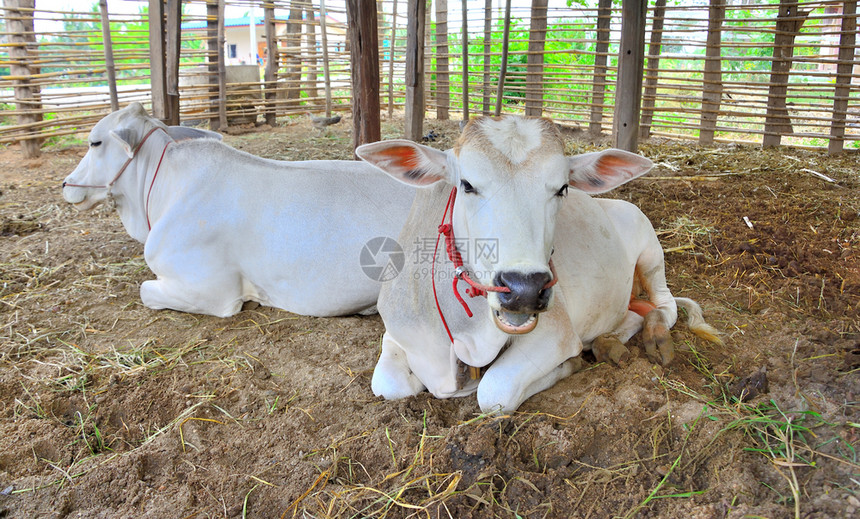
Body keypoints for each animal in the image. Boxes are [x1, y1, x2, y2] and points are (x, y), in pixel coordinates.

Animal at [356, 118, 720, 414]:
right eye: (467, 184)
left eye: (563, 188)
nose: (524, 290)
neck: (465, 331)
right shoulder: (397, 332)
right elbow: (389, 386)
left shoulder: (556, 333)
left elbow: (493, 392)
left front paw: (569, 365)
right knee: (631, 314)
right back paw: (606, 344)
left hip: (650, 251)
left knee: (665, 305)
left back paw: (654, 337)